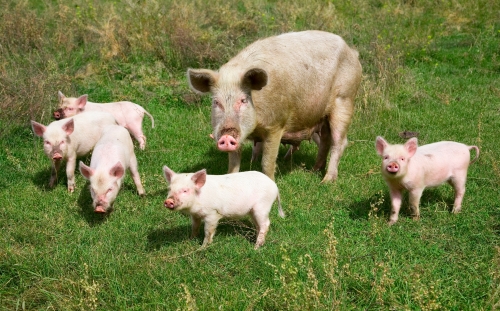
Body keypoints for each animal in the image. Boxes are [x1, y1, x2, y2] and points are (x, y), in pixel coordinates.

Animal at [187, 30, 360, 182]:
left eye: (243, 100)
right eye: (216, 102)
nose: (227, 135)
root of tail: (352, 51)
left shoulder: (276, 125)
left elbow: (267, 163)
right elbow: (233, 164)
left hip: (344, 100)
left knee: (339, 142)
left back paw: (326, 181)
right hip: (321, 116)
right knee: (325, 140)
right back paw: (314, 170)